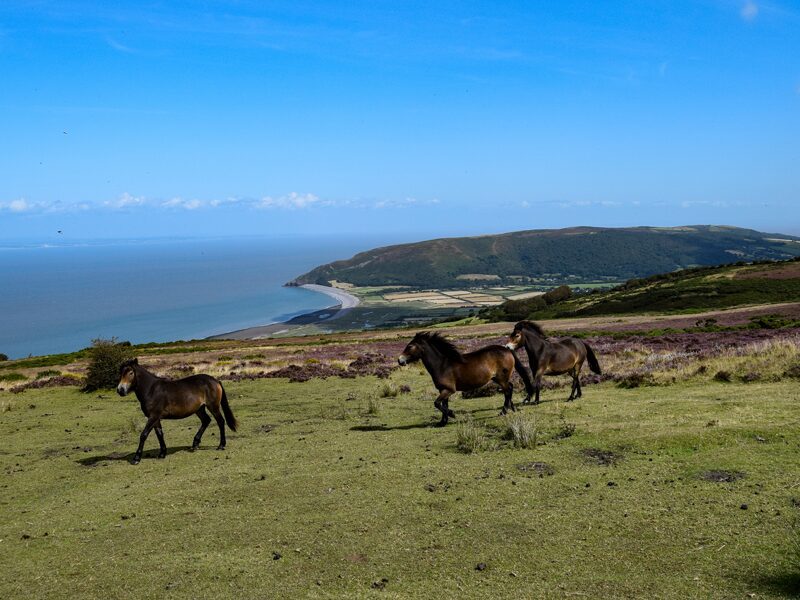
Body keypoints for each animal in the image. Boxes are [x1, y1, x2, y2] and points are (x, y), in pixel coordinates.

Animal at [397, 331, 534, 426]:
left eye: (410, 346)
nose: (400, 360)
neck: (442, 365)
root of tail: (507, 350)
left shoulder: (449, 390)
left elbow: (437, 403)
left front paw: (452, 414)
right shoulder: (443, 390)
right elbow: (443, 405)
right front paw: (442, 422)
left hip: (501, 379)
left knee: (507, 391)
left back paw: (504, 411)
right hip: (498, 379)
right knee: (510, 388)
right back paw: (513, 409)